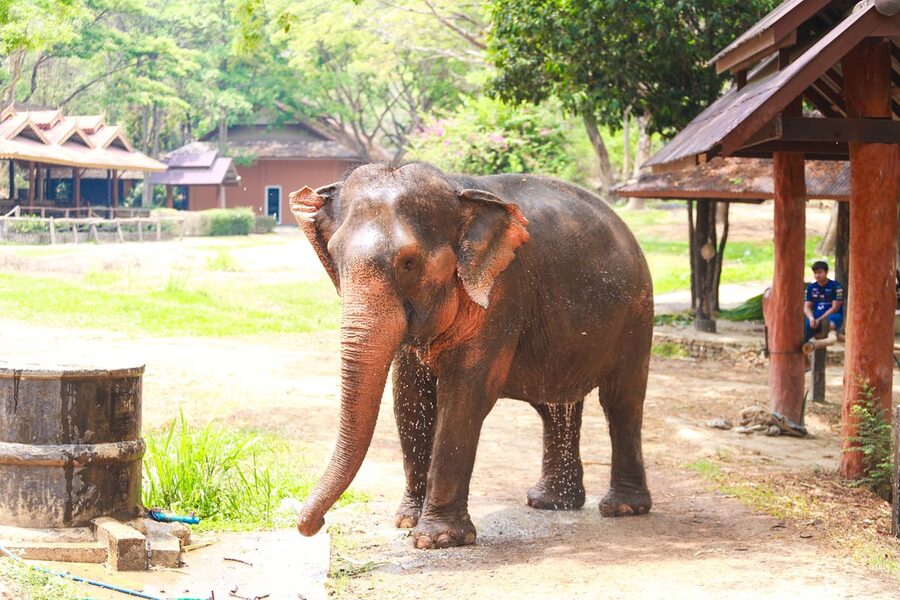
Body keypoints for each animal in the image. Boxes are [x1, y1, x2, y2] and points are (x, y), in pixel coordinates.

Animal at [290, 162, 654, 549]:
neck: (456, 190)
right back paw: (550, 503)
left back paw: (623, 508)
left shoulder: (502, 291)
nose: (315, 525)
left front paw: (435, 540)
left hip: (638, 313)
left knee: (621, 402)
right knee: (556, 407)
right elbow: (409, 398)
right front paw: (406, 521)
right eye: (335, 255)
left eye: (409, 263)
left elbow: (464, 395)